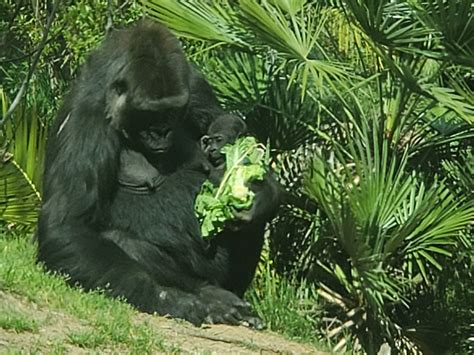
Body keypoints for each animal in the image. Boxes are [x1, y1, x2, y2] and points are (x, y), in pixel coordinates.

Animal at [38, 18, 282, 326]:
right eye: (149, 114)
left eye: (172, 111)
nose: (161, 132)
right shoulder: (86, 115)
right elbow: (68, 225)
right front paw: (177, 301)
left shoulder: (194, 85)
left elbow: (230, 130)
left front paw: (260, 191)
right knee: (119, 241)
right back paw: (206, 292)